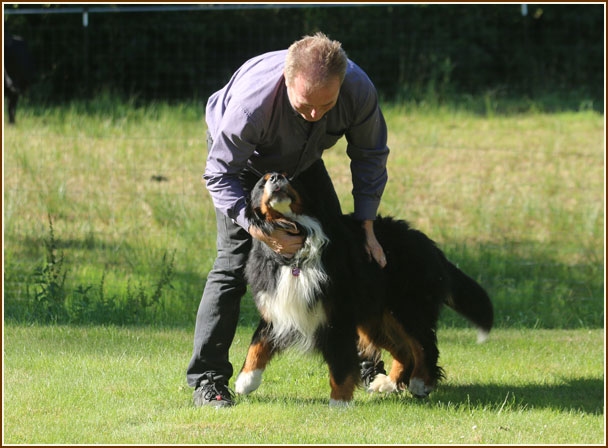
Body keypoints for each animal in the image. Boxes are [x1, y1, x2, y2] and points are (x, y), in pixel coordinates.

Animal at [234, 172, 493, 406]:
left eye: (290, 177)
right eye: (262, 182)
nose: (276, 178)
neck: (297, 242)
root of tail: (425, 241)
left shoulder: (336, 316)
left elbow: (340, 365)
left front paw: (339, 402)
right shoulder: (276, 305)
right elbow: (257, 345)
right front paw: (245, 381)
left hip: (408, 308)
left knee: (423, 345)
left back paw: (421, 382)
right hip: (375, 318)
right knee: (404, 350)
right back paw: (389, 383)